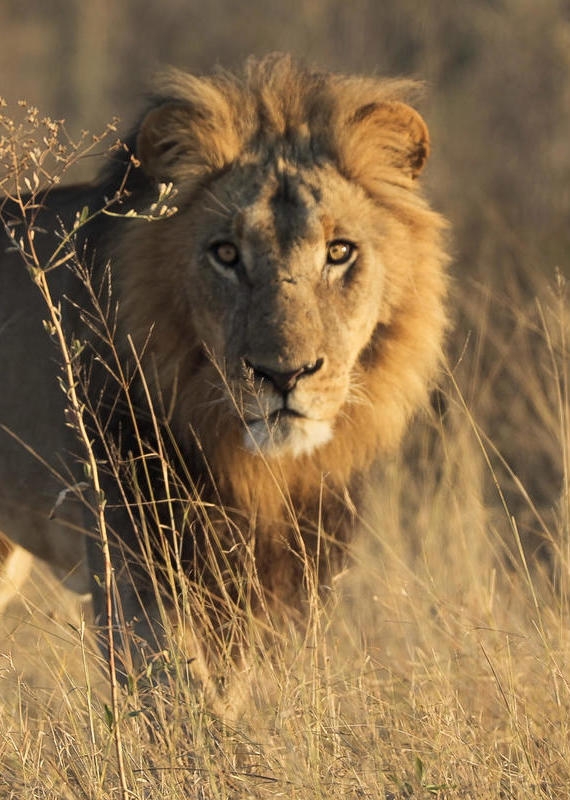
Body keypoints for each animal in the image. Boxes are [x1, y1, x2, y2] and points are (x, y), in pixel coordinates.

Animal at [0, 54, 448, 668]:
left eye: (339, 252)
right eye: (226, 254)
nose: (284, 375)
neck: (258, 471)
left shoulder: (295, 563)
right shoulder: (137, 563)